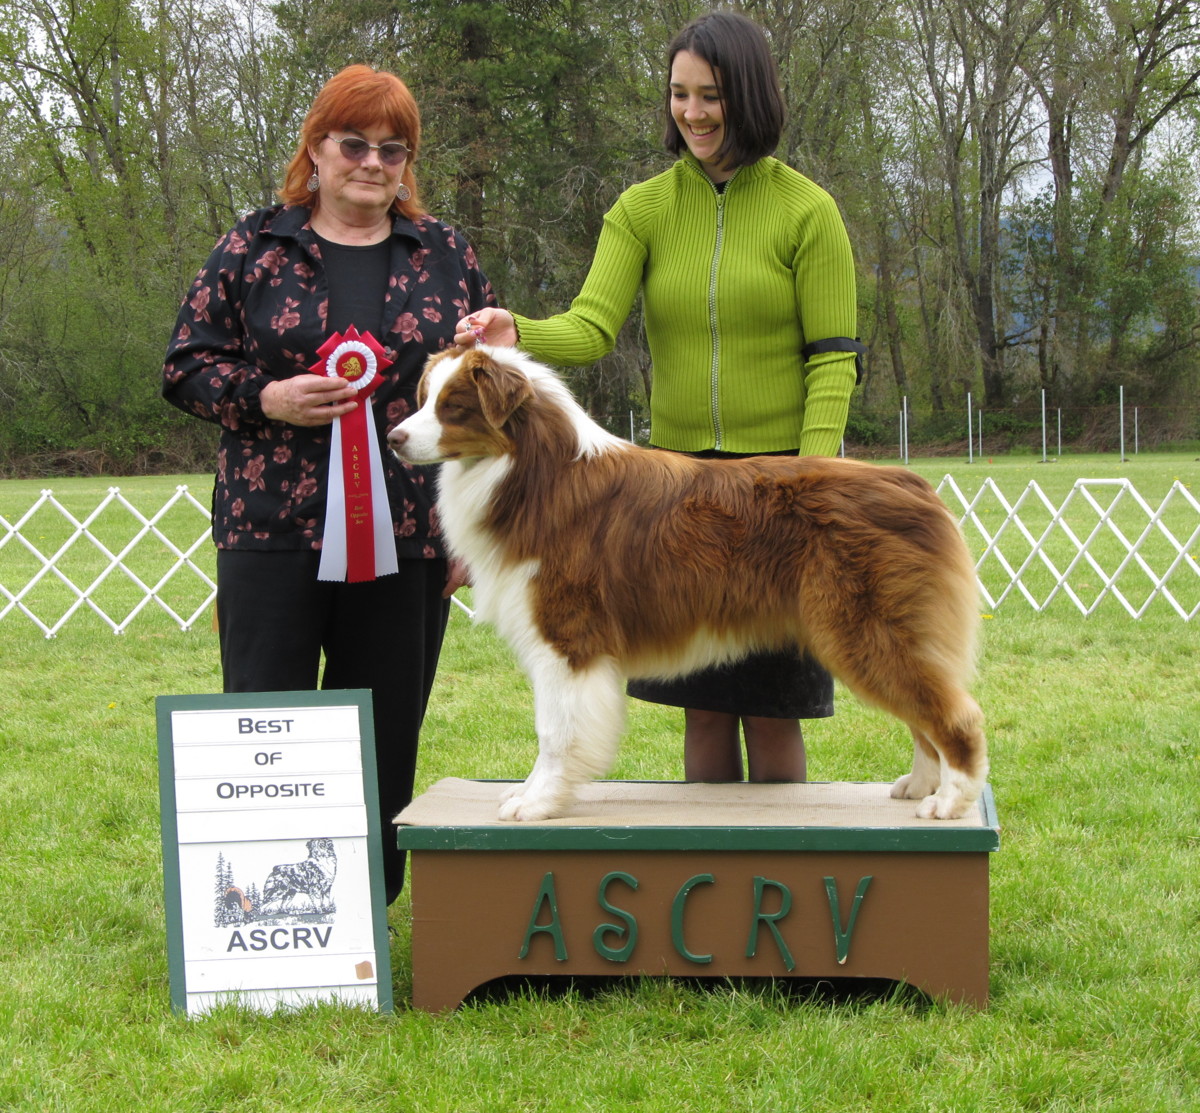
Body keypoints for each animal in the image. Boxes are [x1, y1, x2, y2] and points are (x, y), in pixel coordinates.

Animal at [389, 346, 986, 823]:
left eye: (454, 406)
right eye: (424, 397)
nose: (393, 437)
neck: (530, 470)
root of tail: (914, 484)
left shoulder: (568, 639)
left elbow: (555, 732)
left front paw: (540, 803)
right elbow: (551, 729)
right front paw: (529, 795)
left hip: (864, 631)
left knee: (955, 715)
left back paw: (950, 801)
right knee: (924, 713)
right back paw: (920, 785)